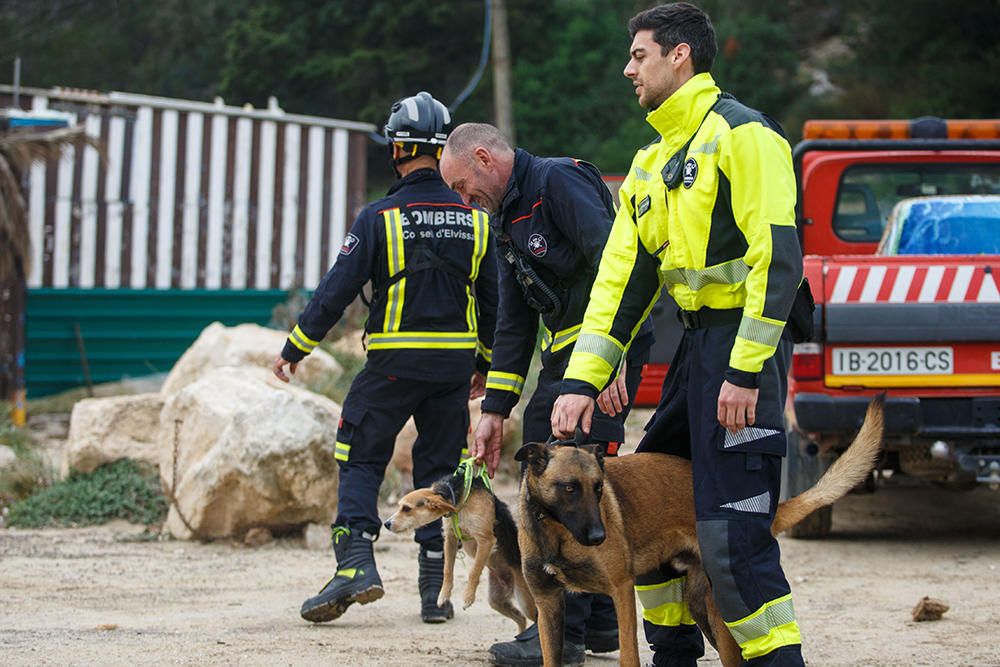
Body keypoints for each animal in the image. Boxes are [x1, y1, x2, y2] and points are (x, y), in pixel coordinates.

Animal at [384, 460, 540, 632]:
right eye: (399, 506)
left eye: (406, 508)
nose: (386, 524)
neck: (460, 500)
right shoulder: (450, 538)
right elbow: (447, 570)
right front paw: (443, 595)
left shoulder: (486, 540)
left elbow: (474, 571)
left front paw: (468, 597)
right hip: (497, 600)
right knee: (521, 619)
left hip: (526, 601)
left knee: (535, 619)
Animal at [516, 396, 884, 667]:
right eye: (569, 489)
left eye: (597, 488)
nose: (598, 538)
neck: (553, 530)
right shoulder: (548, 603)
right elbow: (550, 656)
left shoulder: (620, 590)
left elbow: (628, 653)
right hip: (697, 604)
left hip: (719, 608)